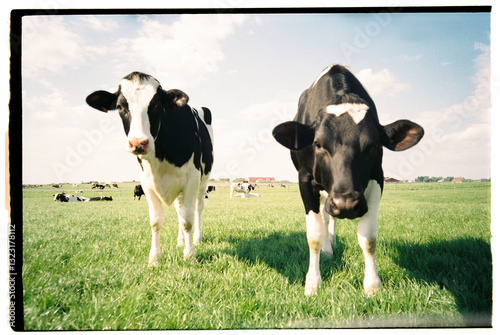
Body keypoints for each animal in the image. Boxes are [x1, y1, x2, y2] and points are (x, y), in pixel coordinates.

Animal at [85, 71, 213, 266]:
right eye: (121, 107)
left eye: (156, 105)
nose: (139, 143)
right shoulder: (146, 182)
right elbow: (156, 221)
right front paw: (154, 258)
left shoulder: (192, 178)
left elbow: (187, 221)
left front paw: (190, 255)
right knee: (179, 209)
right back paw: (180, 240)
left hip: (202, 181)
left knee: (197, 208)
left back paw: (196, 239)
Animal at [272, 64, 424, 296]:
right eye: (318, 143)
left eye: (374, 145)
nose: (346, 205)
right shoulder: (305, 180)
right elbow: (314, 236)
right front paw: (312, 283)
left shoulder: (377, 178)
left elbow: (368, 238)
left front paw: (372, 286)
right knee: (325, 217)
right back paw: (327, 249)